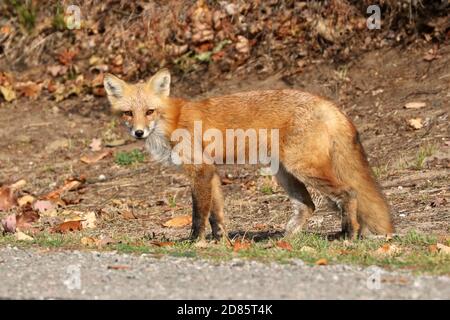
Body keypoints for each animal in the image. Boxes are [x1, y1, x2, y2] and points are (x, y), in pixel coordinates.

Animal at [103, 69, 392, 241]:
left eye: (149, 111)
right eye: (128, 113)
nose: (138, 132)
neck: (172, 122)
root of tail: (327, 103)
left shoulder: (200, 171)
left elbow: (199, 214)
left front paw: (194, 242)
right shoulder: (212, 172)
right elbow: (217, 214)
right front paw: (220, 241)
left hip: (303, 168)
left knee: (349, 193)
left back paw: (349, 235)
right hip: (284, 173)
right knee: (308, 205)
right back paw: (286, 239)